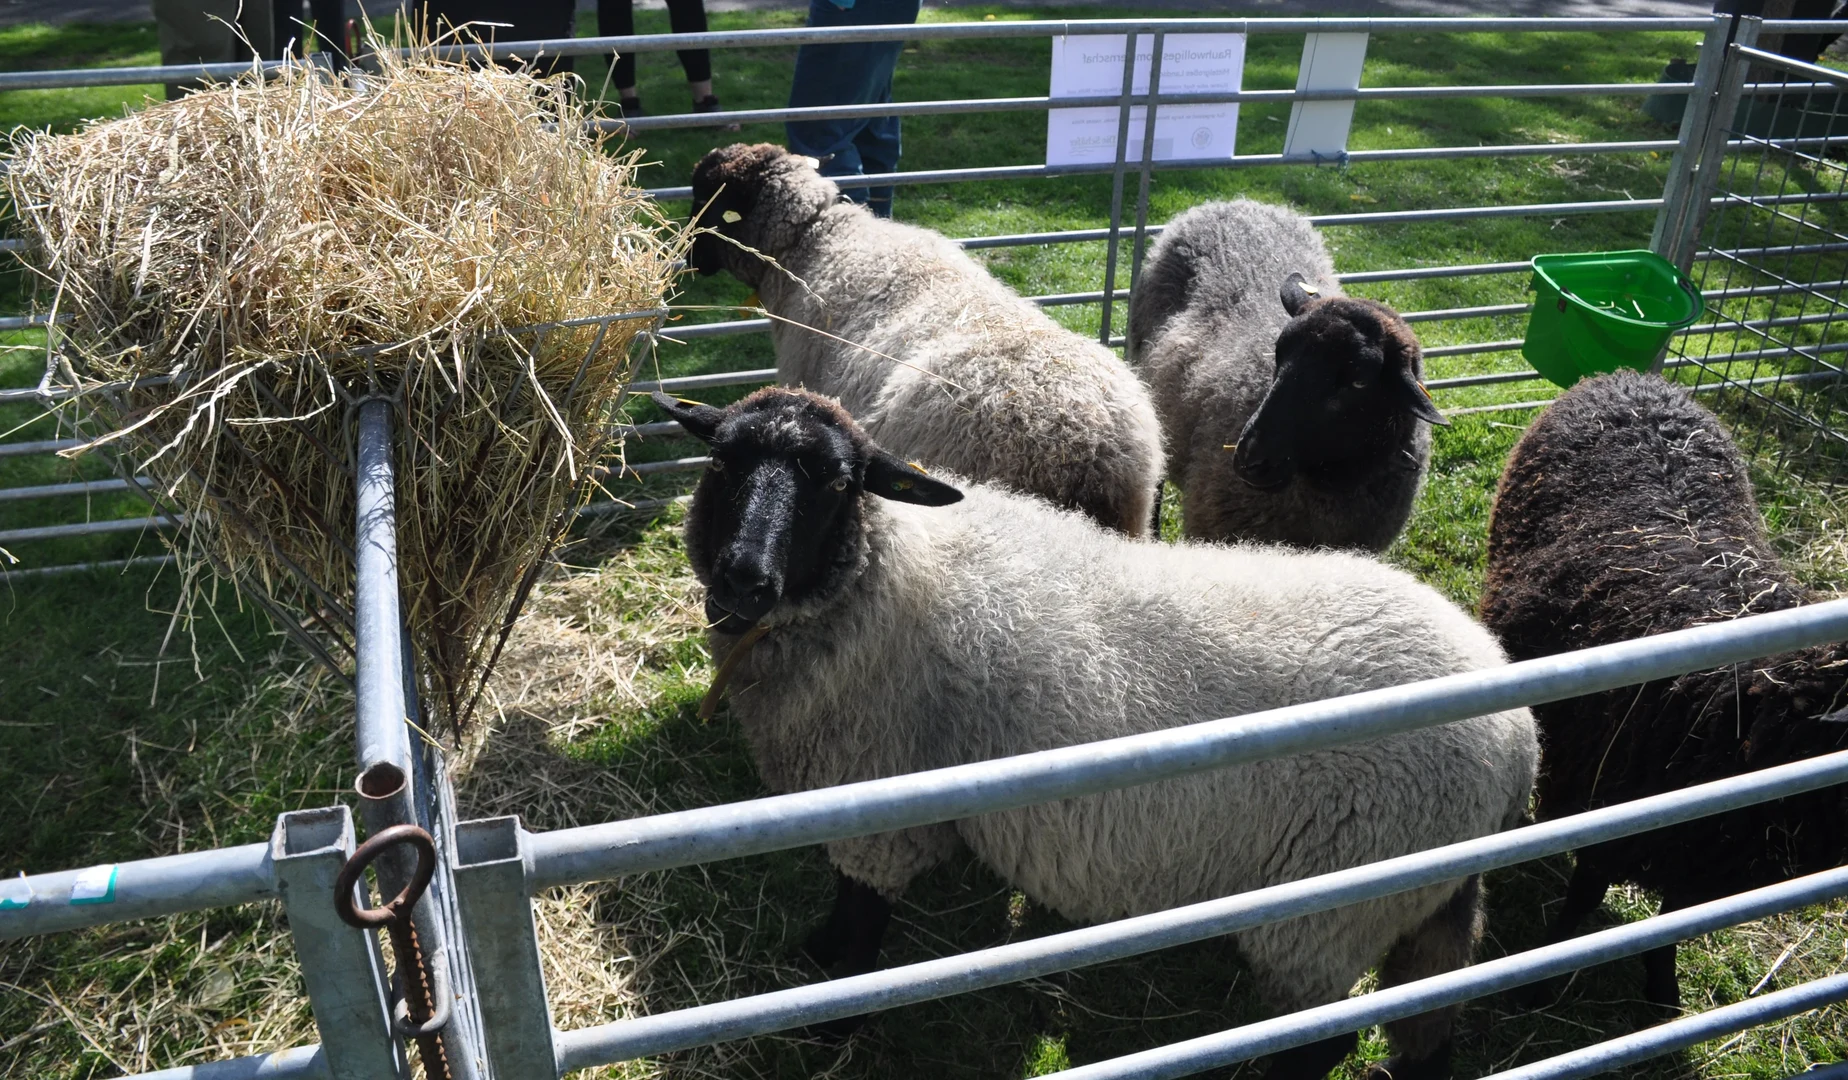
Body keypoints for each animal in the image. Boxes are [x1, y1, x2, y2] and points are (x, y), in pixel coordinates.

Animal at [652, 385, 1538, 1080]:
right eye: (722, 462)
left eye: (837, 482)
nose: (743, 579)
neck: (888, 574)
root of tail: (1516, 733)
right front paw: (814, 959)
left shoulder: (880, 805)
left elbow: (863, 918)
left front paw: (832, 1018)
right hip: (1414, 897)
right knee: (1428, 1023)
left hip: (1333, 905)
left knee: (1320, 1042)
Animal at [1480, 368, 1848, 1008]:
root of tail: (1632, 378)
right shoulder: (1610, 807)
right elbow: (1583, 899)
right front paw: (1545, 974)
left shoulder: (1700, 858)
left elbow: (1671, 927)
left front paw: (1662, 994)